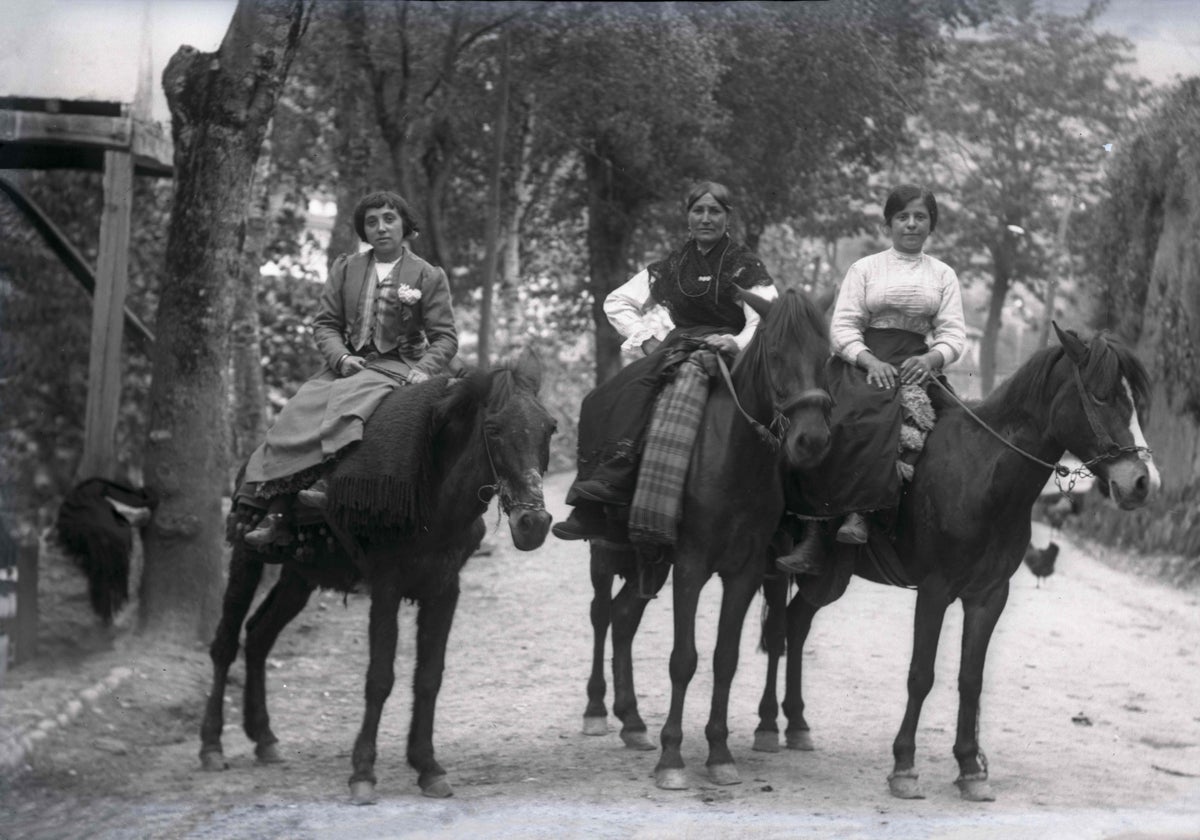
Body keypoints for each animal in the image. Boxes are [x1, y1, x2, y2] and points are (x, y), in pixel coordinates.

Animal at [196, 350, 552, 801]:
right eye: (493, 428)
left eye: (550, 428)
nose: (533, 524)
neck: (431, 494)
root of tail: (249, 465)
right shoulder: (386, 588)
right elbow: (380, 677)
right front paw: (363, 771)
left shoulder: (444, 590)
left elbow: (429, 677)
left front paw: (427, 766)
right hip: (246, 556)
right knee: (225, 644)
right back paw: (211, 745)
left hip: (299, 576)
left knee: (258, 635)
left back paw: (264, 738)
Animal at [576, 289, 830, 787]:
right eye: (775, 354)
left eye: (826, 356)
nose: (811, 441)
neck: (733, 458)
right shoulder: (691, 566)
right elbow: (684, 659)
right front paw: (672, 759)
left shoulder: (745, 571)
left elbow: (724, 658)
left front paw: (719, 753)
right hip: (606, 550)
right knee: (601, 614)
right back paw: (597, 711)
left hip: (651, 563)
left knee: (623, 617)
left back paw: (632, 721)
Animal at [753, 324, 1156, 801]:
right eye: (1100, 396)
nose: (1141, 482)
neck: (981, 474)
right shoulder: (935, 591)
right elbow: (921, 674)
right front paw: (904, 766)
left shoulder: (988, 596)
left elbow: (971, 678)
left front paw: (969, 767)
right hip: (775, 562)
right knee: (777, 631)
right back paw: (766, 725)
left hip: (828, 578)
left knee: (796, 626)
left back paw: (797, 723)